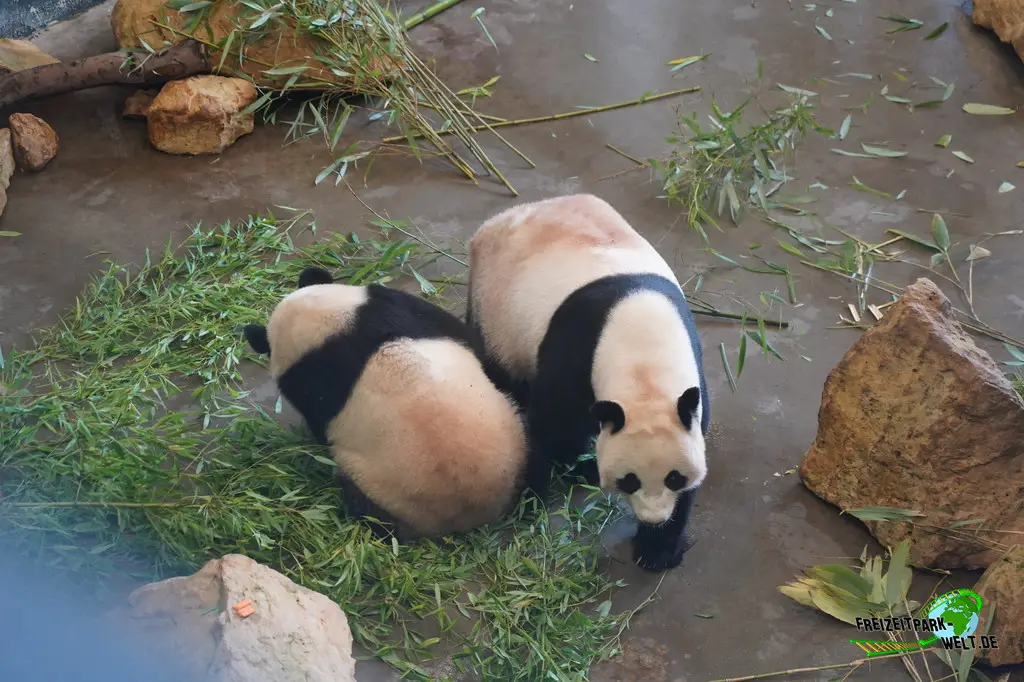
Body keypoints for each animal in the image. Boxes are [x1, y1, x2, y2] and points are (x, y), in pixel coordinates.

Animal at [465, 194, 710, 572]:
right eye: (630, 480)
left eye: (673, 477)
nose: (653, 518)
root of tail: (503, 217)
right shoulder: (575, 347)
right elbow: (551, 424)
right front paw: (534, 495)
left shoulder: (692, 385)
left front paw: (659, 549)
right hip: (495, 311)